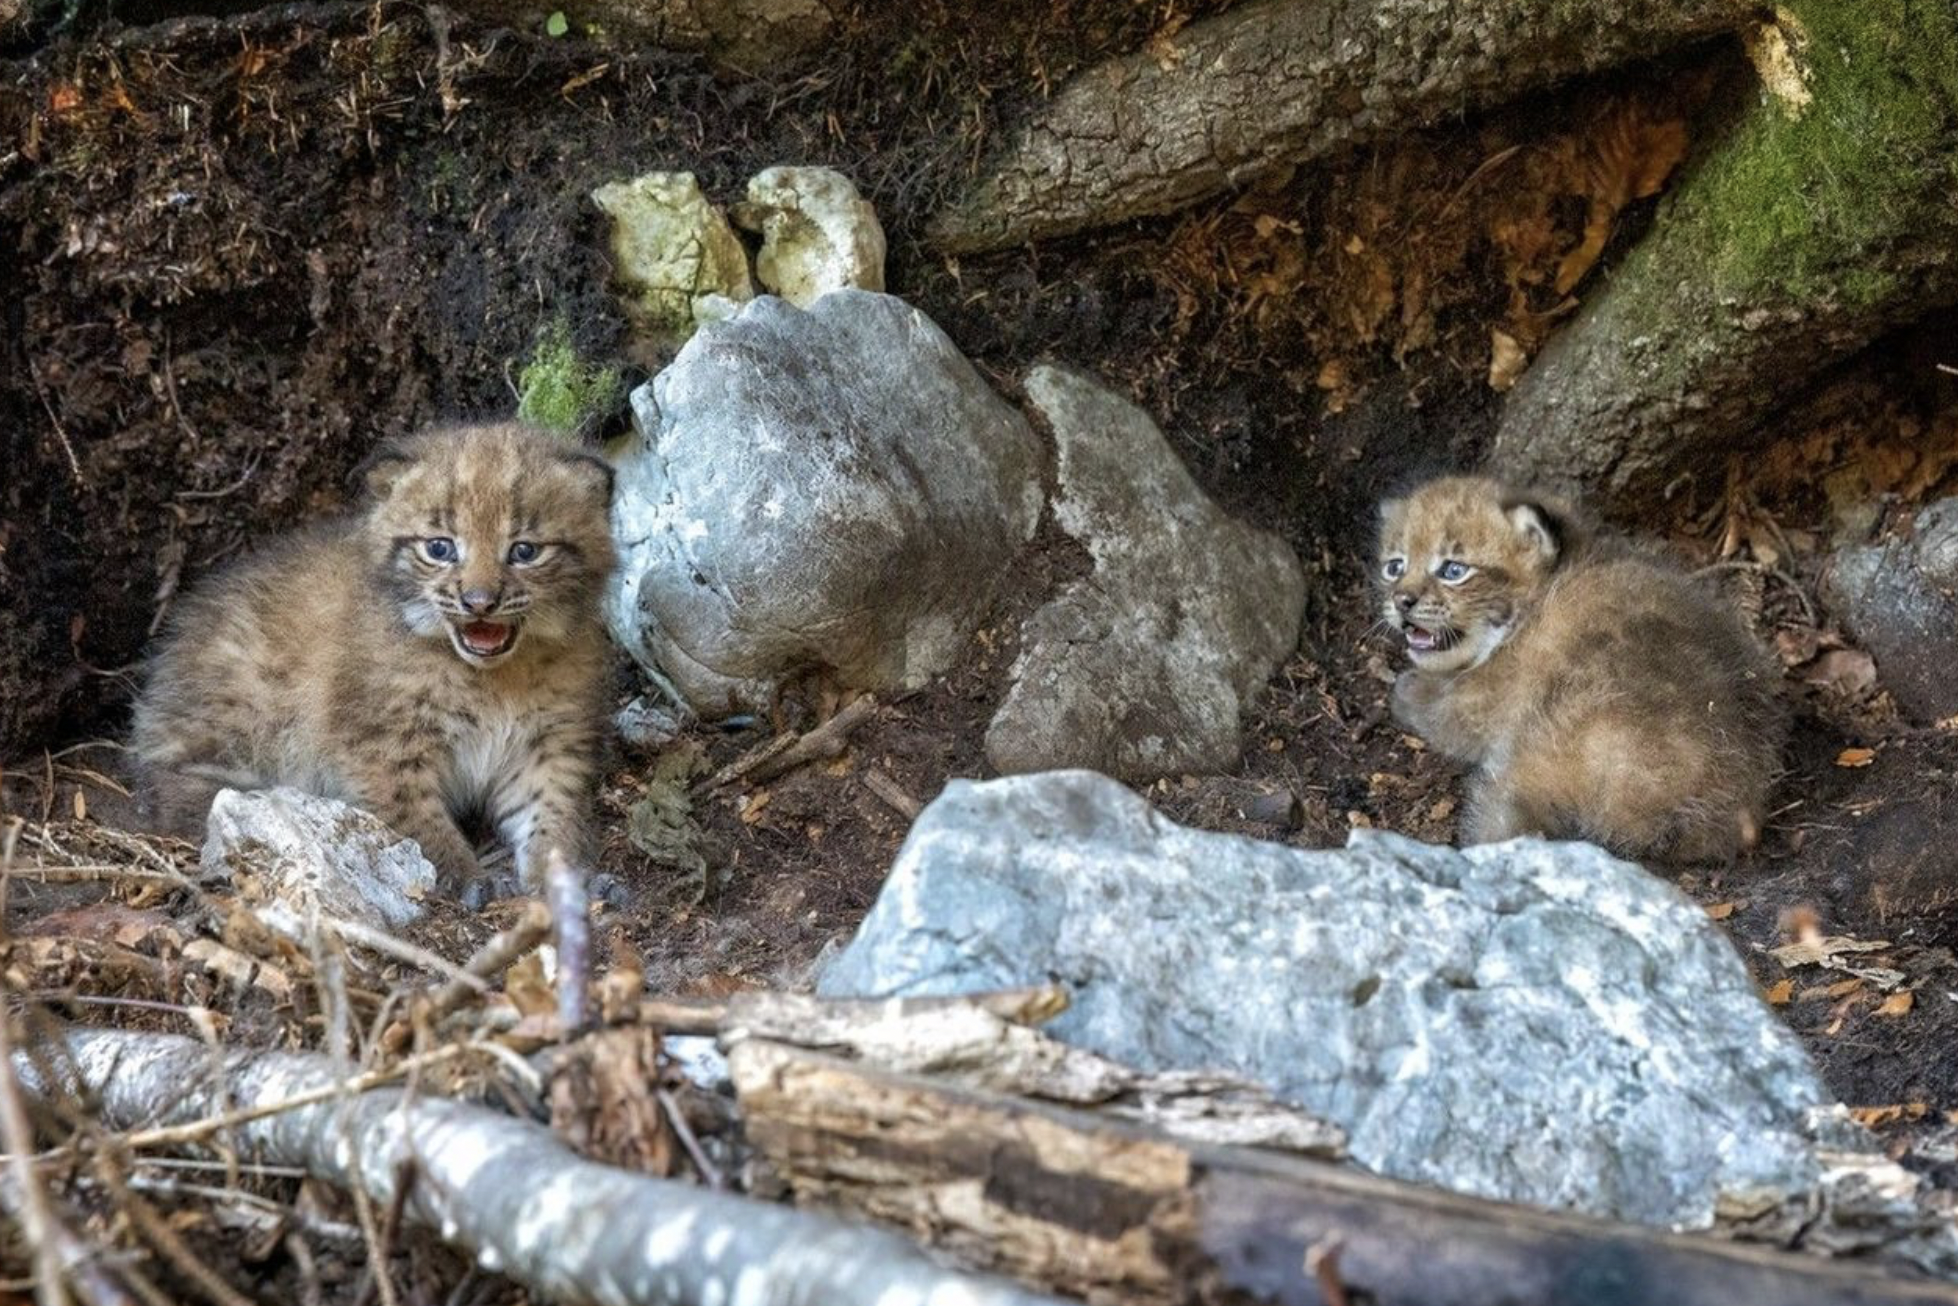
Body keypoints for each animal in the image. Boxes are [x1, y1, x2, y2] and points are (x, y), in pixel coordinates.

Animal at [137, 419, 614, 888]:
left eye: (524, 551)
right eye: (440, 548)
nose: (479, 603)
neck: (491, 675)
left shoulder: (548, 743)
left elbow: (552, 813)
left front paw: (562, 875)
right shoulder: (379, 745)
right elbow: (413, 813)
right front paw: (463, 877)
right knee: (174, 789)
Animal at [1386, 475, 1785, 861]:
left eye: (1453, 570)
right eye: (1394, 567)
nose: (1401, 601)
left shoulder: (1483, 705)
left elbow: (1439, 710)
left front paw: (1405, 689)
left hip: (1542, 752)